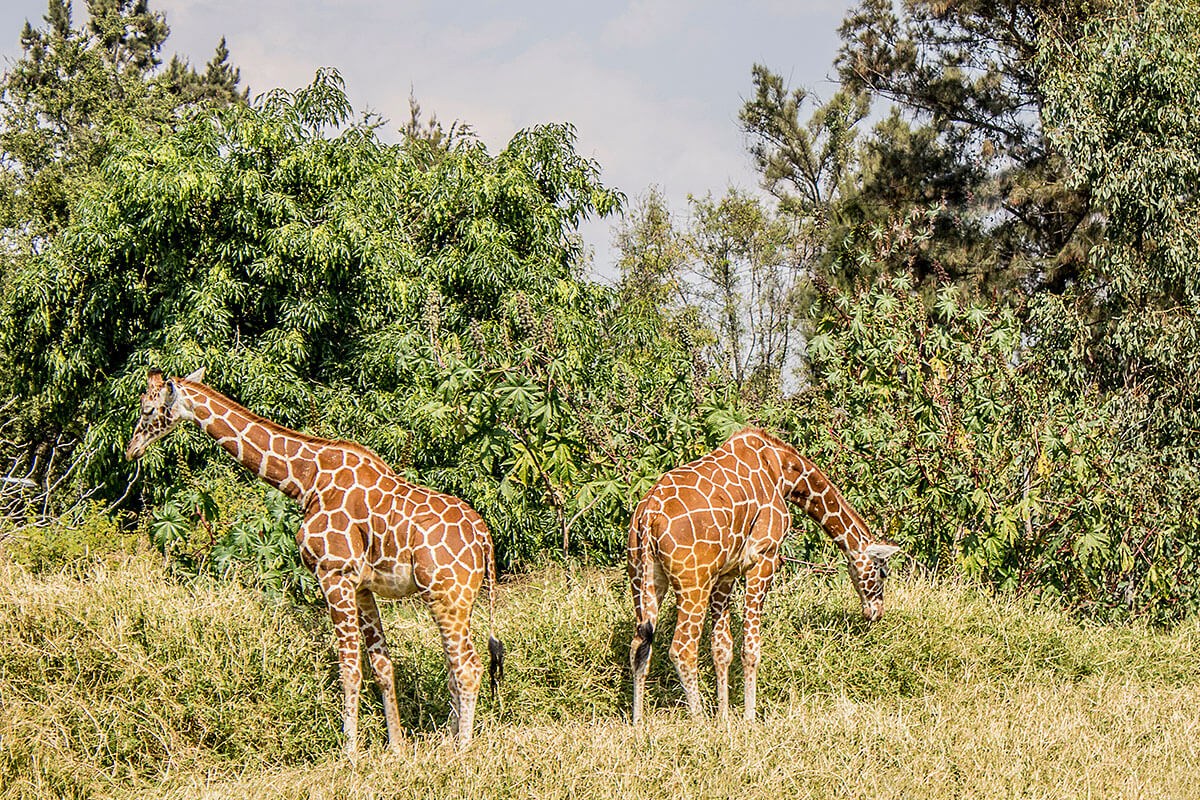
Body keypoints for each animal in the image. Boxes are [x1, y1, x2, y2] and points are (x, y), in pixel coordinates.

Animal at [124, 367, 504, 755]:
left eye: (148, 409)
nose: (131, 449)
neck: (305, 479)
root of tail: (484, 537)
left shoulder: (333, 573)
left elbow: (349, 669)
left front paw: (349, 753)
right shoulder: (361, 585)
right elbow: (382, 665)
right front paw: (396, 748)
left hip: (446, 593)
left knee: (468, 667)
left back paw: (461, 749)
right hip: (457, 597)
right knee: (454, 667)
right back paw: (449, 741)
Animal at [627, 427, 900, 724]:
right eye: (882, 572)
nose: (876, 612)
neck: (784, 472)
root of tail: (648, 515)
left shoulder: (726, 573)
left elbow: (722, 647)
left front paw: (724, 718)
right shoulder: (764, 558)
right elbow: (750, 648)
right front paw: (749, 717)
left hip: (643, 576)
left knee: (639, 645)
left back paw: (638, 723)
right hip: (693, 581)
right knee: (682, 649)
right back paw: (698, 721)